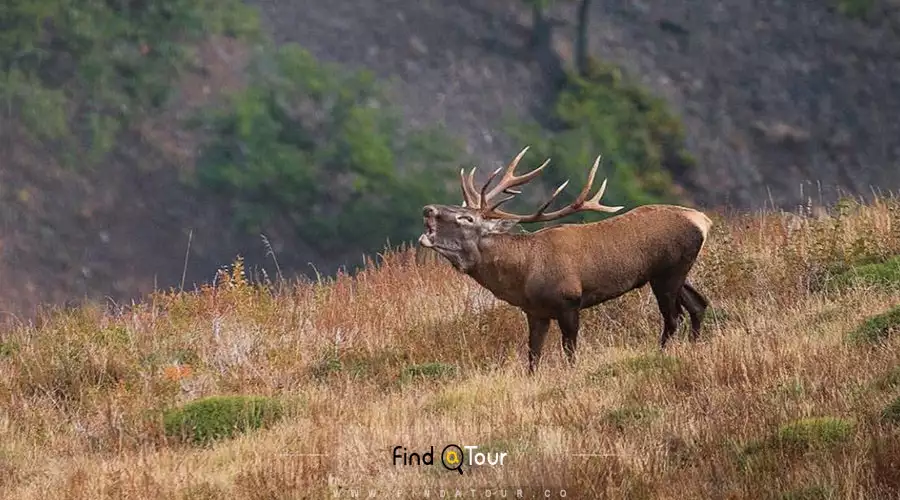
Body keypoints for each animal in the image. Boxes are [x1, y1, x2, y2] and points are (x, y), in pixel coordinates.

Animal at [418, 146, 712, 374]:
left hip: (669, 271)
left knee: (673, 317)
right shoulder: (535, 312)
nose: (427, 209)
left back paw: (660, 355)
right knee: (698, 304)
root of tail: (703, 221)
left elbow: (569, 352)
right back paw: (693, 347)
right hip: (672, 273)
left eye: (466, 218)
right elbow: (533, 357)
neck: (524, 275)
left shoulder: (569, 301)